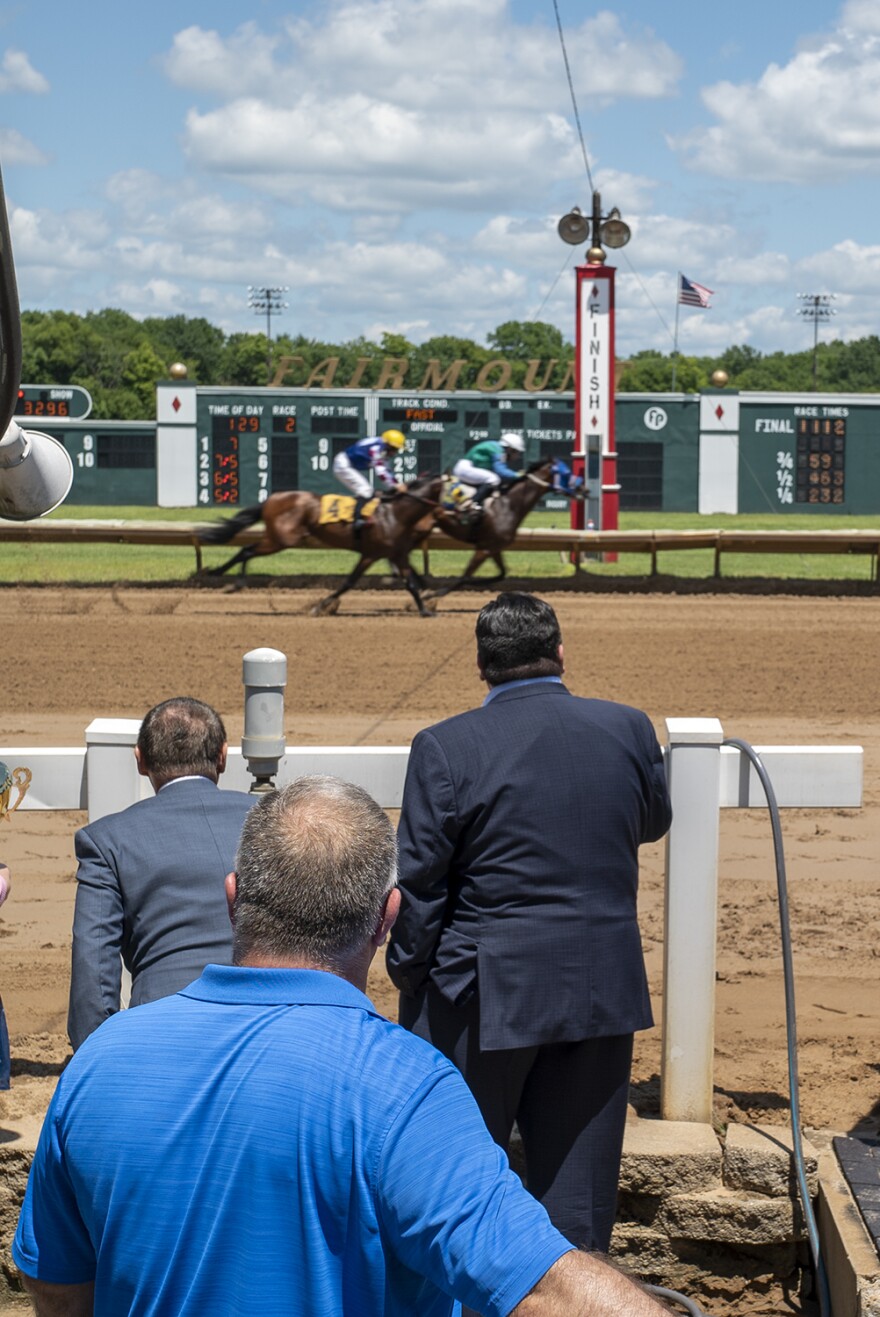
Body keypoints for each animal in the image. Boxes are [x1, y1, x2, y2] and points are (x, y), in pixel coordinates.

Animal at [201, 476, 442, 613]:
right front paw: (319, 607)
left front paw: (425, 609)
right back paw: (229, 580)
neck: (394, 513)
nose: (442, 516)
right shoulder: (371, 554)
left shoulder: (396, 554)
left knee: (246, 550)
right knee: (247, 550)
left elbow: (411, 583)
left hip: (279, 539)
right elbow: (349, 582)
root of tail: (270, 499)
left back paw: (225, 577)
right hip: (282, 539)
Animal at [424, 453, 584, 597]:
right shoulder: (484, 548)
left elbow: (501, 574)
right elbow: (464, 577)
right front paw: (431, 597)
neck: (507, 505)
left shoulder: (494, 548)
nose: (584, 488)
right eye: (566, 473)